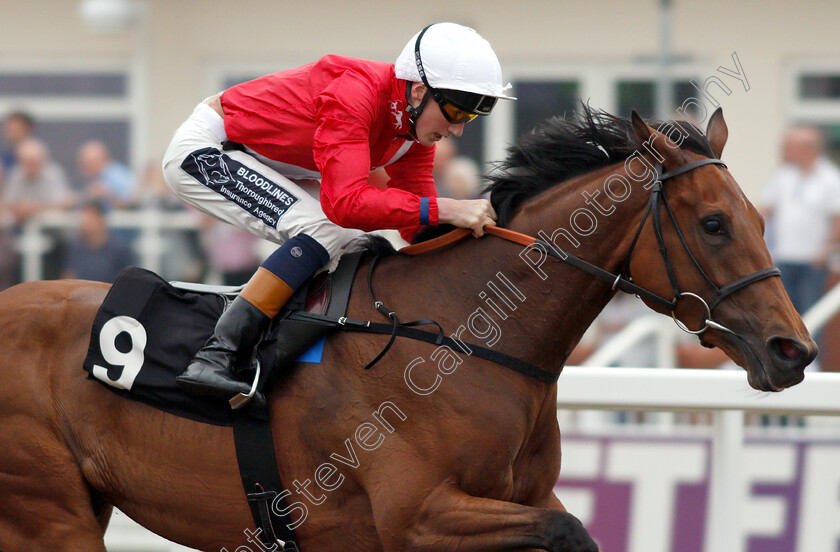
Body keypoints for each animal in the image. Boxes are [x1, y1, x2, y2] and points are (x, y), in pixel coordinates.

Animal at [0, 105, 816, 548]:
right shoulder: (417, 517)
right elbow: (570, 532)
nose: (795, 350)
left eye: (759, 218)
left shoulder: (520, 499)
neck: (462, 336)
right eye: (713, 224)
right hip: (49, 513)